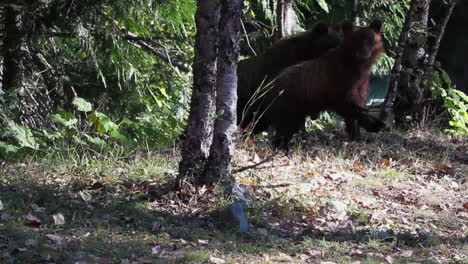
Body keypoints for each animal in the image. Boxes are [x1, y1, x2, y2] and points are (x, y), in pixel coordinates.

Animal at [243, 20, 386, 148]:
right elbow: (345, 104)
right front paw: (375, 124)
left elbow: (355, 107)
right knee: (283, 126)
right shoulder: (337, 82)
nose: (363, 51)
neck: (356, 66)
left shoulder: (360, 83)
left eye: (370, 39)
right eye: (356, 40)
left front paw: (357, 136)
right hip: (288, 103)